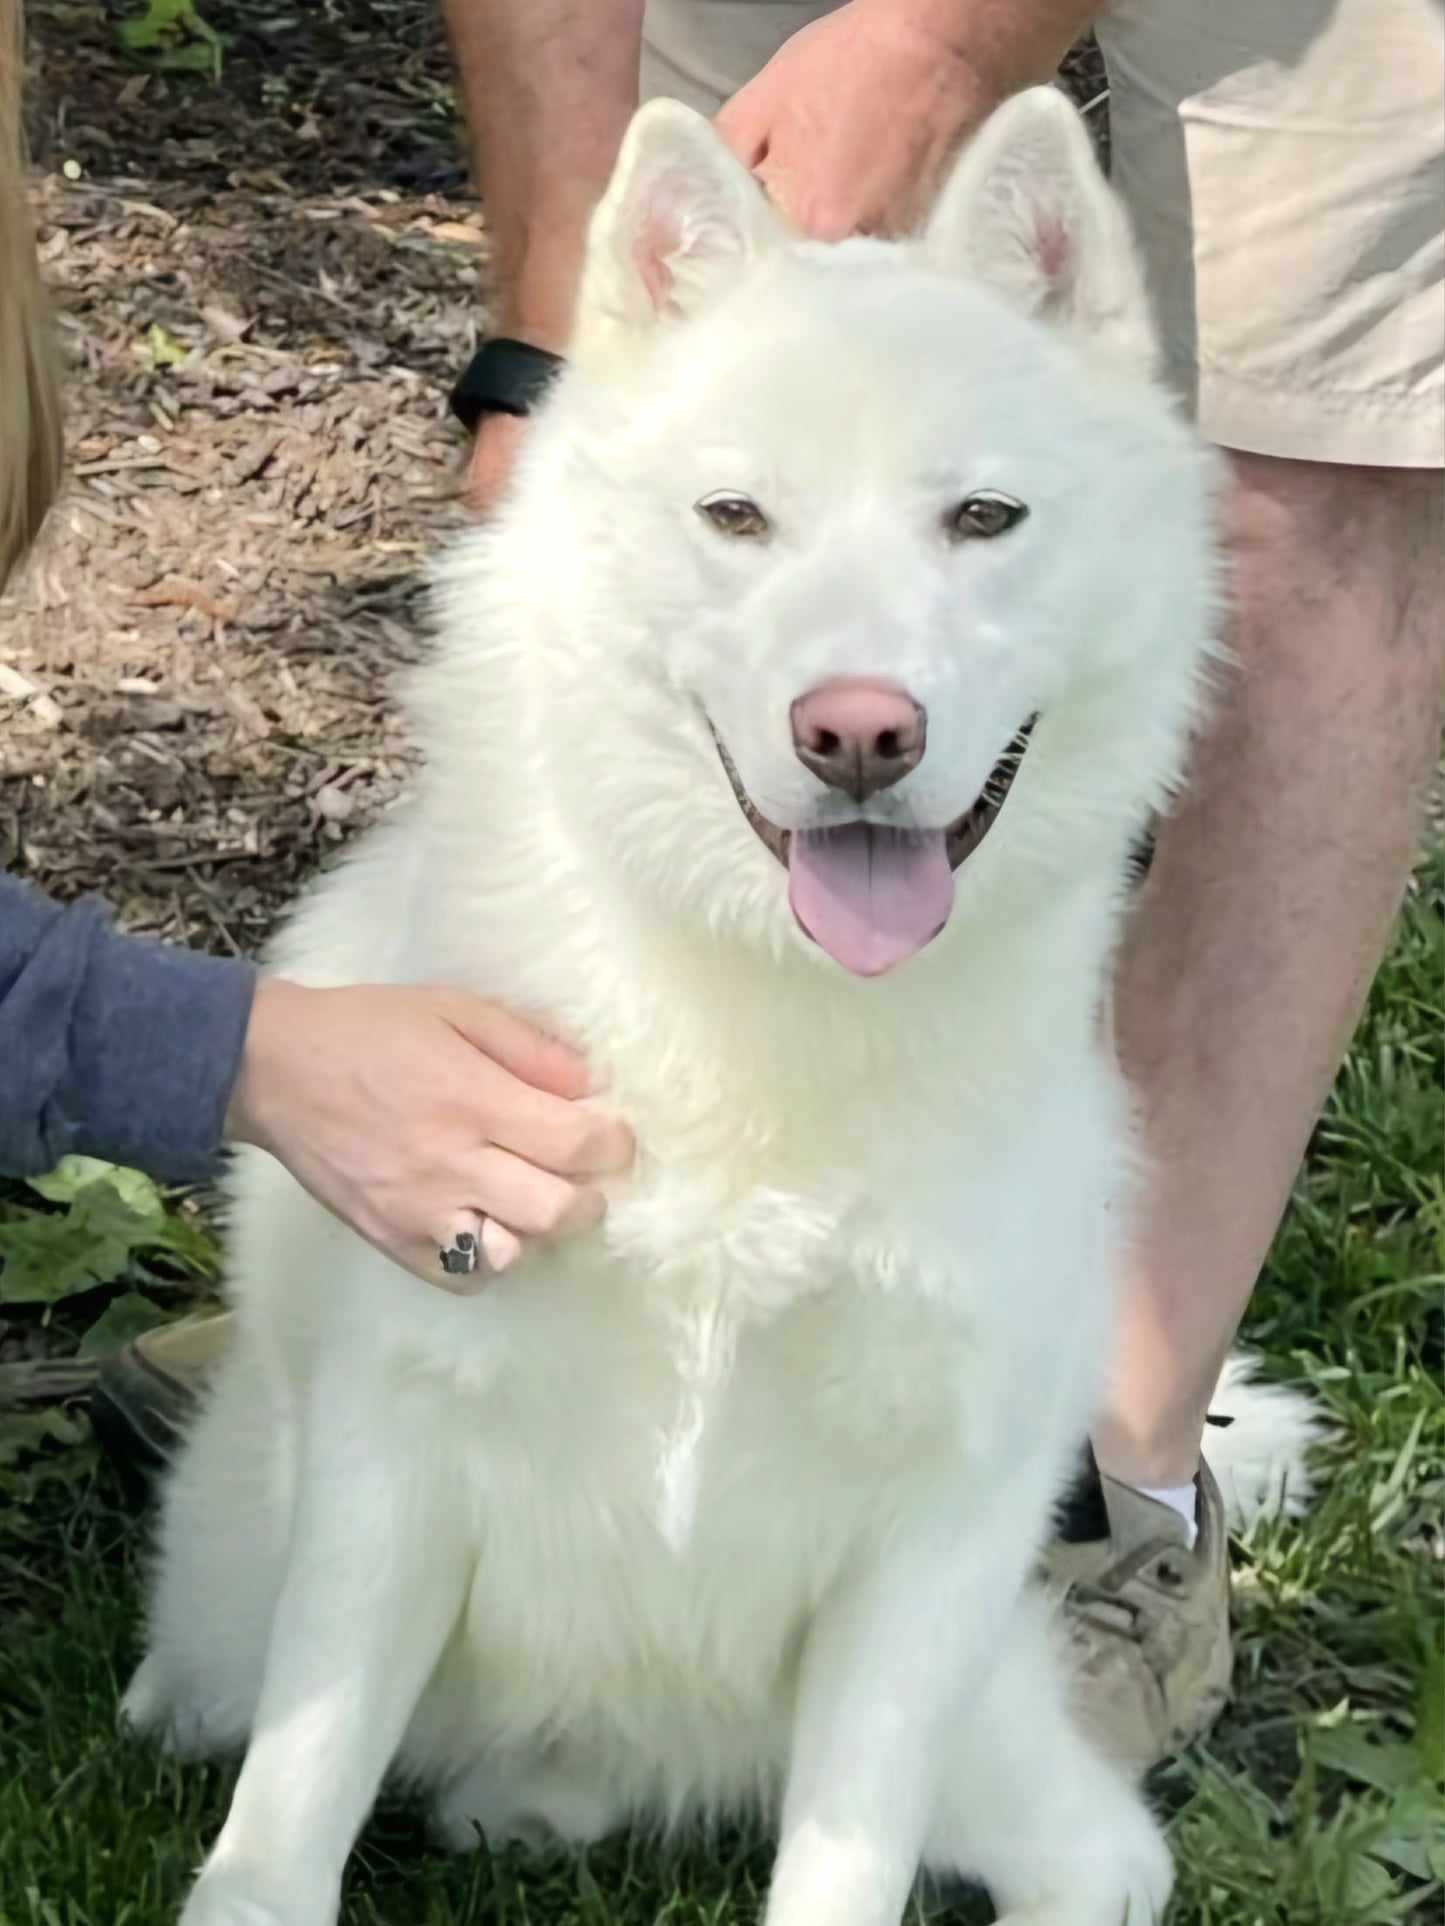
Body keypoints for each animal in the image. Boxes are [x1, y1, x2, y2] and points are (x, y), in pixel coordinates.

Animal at [130, 86, 1310, 1926]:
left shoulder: (922, 1558)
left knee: (1105, 1867)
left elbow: (847, 1859)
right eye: (737, 517)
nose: (860, 733)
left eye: (984, 520)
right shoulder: (393, 1464)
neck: (763, 1030)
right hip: (225, 1613)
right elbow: (286, 1827)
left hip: (1014, 1767)